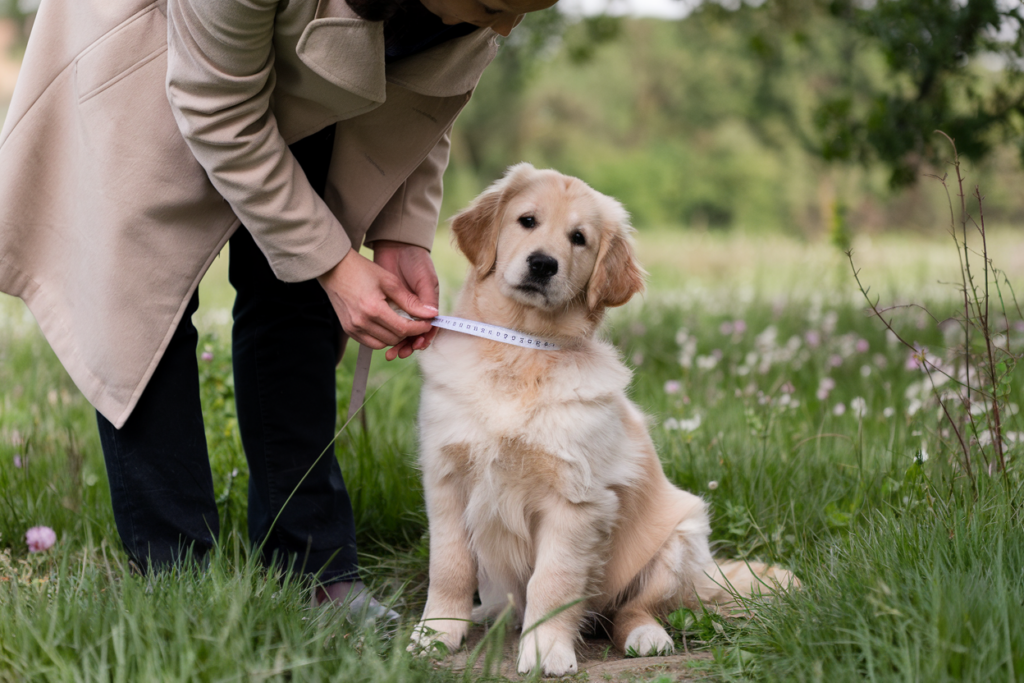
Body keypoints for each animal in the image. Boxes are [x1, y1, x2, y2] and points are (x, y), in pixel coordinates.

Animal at [411, 162, 794, 675]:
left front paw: (545, 650)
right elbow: (449, 567)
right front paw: (437, 634)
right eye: (527, 220)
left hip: (679, 538)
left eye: (579, 238)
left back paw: (646, 637)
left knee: (633, 609)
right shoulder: (446, 479)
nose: (542, 264)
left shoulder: (576, 500)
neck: (520, 349)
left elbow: (552, 582)